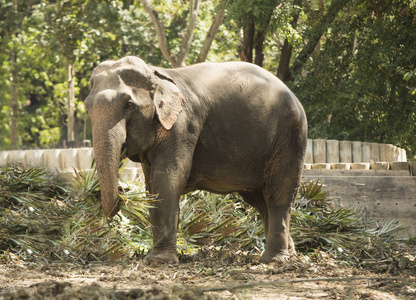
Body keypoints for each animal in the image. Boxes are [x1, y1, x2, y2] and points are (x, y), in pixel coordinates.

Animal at [83, 56, 308, 264]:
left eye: (128, 104)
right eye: (87, 107)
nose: (123, 190)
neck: (157, 73)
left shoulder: (183, 125)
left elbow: (168, 177)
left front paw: (159, 261)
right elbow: (151, 185)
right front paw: (153, 256)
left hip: (290, 136)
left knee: (278, 195)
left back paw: (273, 260)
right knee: (260, 201)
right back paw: (290, 255)